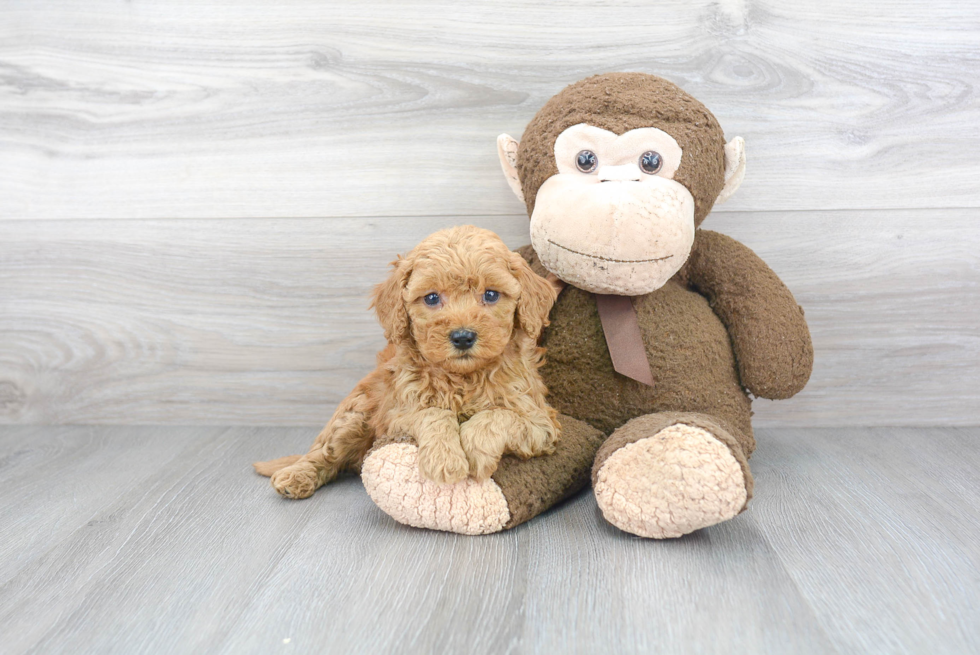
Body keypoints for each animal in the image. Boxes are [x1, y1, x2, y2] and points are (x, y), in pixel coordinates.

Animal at [253, 223, 560, 500]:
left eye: (491, 294)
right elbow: (434, 413)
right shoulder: (397, 414)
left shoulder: (541, 422)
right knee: (324, 453)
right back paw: (296, 475)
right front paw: (445, 460)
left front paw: (475, 450)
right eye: (432, 298)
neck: (463, 378)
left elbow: (496, 416)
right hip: (355, 414)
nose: (462, 337)